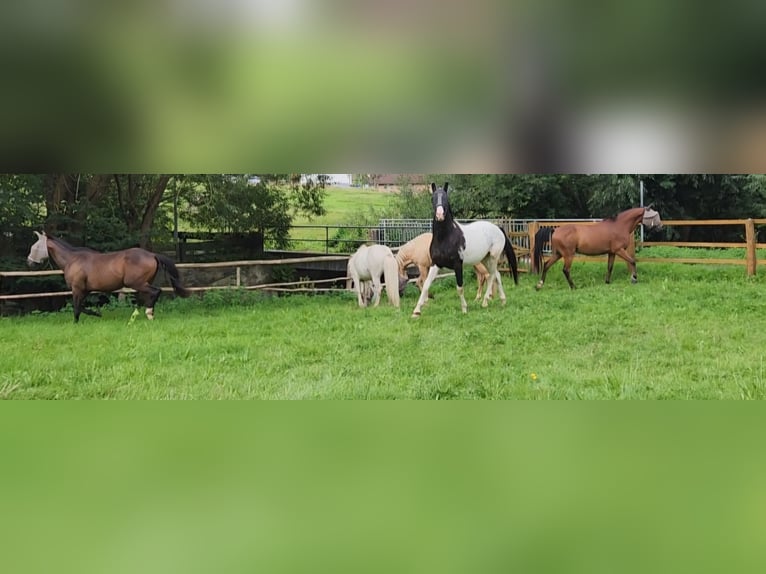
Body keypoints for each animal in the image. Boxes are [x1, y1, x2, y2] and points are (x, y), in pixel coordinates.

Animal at [26, 234, 191, 324]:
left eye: (35, 247)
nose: (29, 262)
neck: (72, 260)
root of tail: (152, 255)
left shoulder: (77, 288)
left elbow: (77, 308)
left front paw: (79, 322)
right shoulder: (85, 290)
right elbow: (81, 307)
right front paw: (95, 314)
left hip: (136, 283)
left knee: (156, 291)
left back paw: (149, 314)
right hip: (142, 283)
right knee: (148, 295)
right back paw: (138, 315)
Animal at [412, 184, 520, 320]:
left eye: (446, 198)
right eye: (433, 198)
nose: (440, 215)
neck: (446, 237)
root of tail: (498, 228)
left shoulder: (458, 265)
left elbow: (459, 288)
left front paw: (464, 309)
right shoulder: (435, 264)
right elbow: (426, 285)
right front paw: (416, 311)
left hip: (493, 258)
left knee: (492, 276)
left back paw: (485, 302)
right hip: (485, 259)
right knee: (497, 275)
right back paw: (502, 301)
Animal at [532, 207, 664, 290]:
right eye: (655, 215)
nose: (660, 227)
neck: (619, 225)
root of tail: (555, 230)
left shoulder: (612, 252)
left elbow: (610, 267)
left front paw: (607, 282)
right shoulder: (619, 250)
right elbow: (632, 261)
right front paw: (634, 279)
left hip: (558, 254)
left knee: (546, 265)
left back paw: (539, 285)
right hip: (568, 255)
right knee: (566, 270)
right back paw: (573, 287)